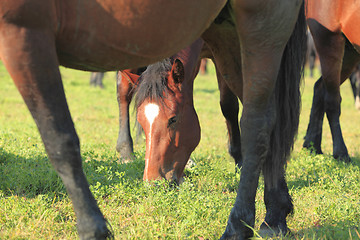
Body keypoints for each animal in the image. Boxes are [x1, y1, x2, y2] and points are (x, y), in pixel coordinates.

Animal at [0, 0, 306, 239]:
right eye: (143, 123)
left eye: (173, 120)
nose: (153, 182)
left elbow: (229, 106)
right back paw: (274, 215)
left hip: (261, 26)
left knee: (257, 119)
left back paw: (241, 224)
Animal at [304, 0, 360, 162]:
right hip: (329, 43)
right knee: (332, 101)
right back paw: (340, 153)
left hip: (350, 53)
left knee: (319, 88)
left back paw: (312, 146)